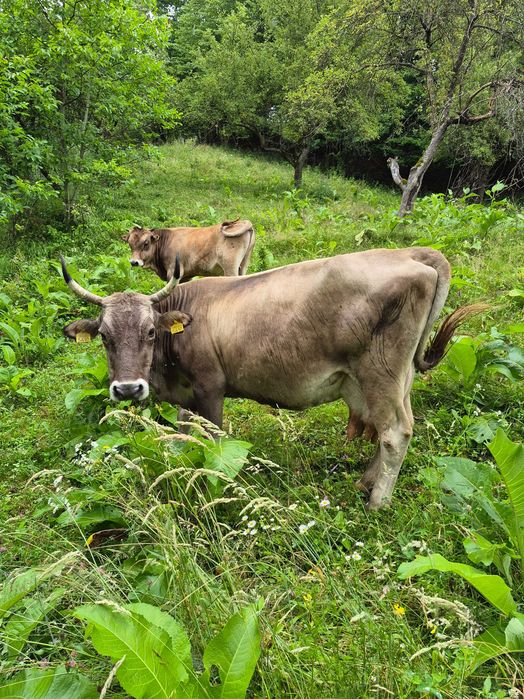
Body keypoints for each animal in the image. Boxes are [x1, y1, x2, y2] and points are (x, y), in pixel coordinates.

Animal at [61, 247, 484, 510]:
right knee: (390, 429)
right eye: (104, 335)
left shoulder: (211, 389)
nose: (127, 388)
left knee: (395, 433)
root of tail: (411, 254)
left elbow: (215, 444)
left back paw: (378, 502)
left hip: (380, 372)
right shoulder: (187, 396)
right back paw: (366, 482)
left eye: (150, 331)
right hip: (392, 379)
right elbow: (183, 435)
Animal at [123, 219, 255, 282]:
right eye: (130, 244)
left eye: (146, 243)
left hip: (230, 268)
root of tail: (243, 222)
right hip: (243, 265)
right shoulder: (186, 276)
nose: (134, 262)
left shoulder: (173, 272)